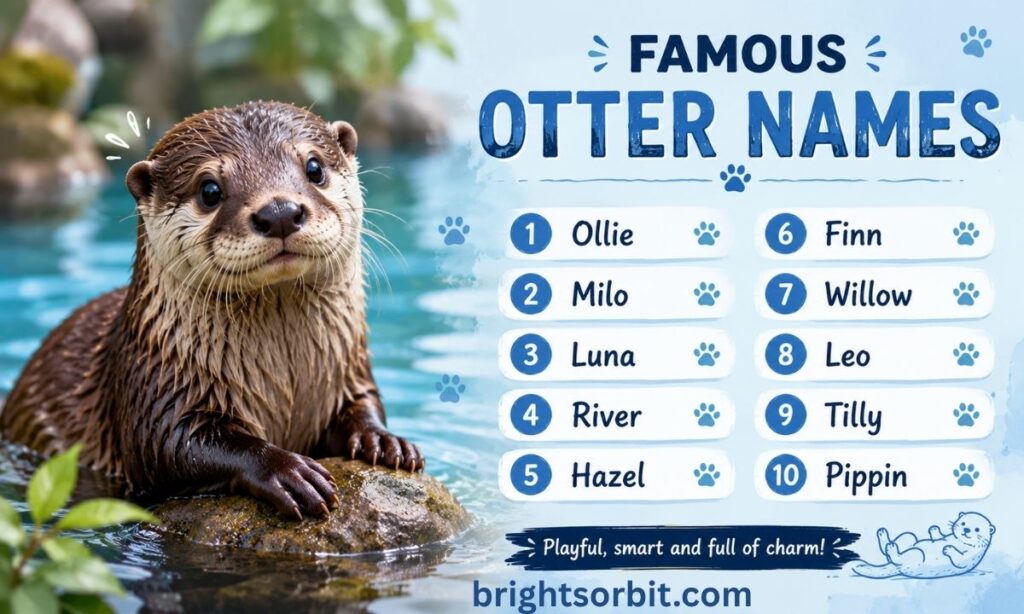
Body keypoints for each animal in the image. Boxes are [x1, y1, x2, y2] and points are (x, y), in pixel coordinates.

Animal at [1, 101, 423, 519]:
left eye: (314, 167)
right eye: (209, 190)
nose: (280, 211)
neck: (288, 382)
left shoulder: (349, 370)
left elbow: (364, 402)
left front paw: (384, 441)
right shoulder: (155, 388)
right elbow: (173, 445)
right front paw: (287, 471)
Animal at [853, 512, 995, 579]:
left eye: (977, 529)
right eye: (963, 523)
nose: (966, 530)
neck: (958, 541)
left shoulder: (972, 556)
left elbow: (960, 561)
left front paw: (947, 549)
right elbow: (938, 537)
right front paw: (934, 529)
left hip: (916, 557)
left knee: (897, 557)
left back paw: (891, 547)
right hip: (909, 538)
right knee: (905, 539)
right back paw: (884, 535)